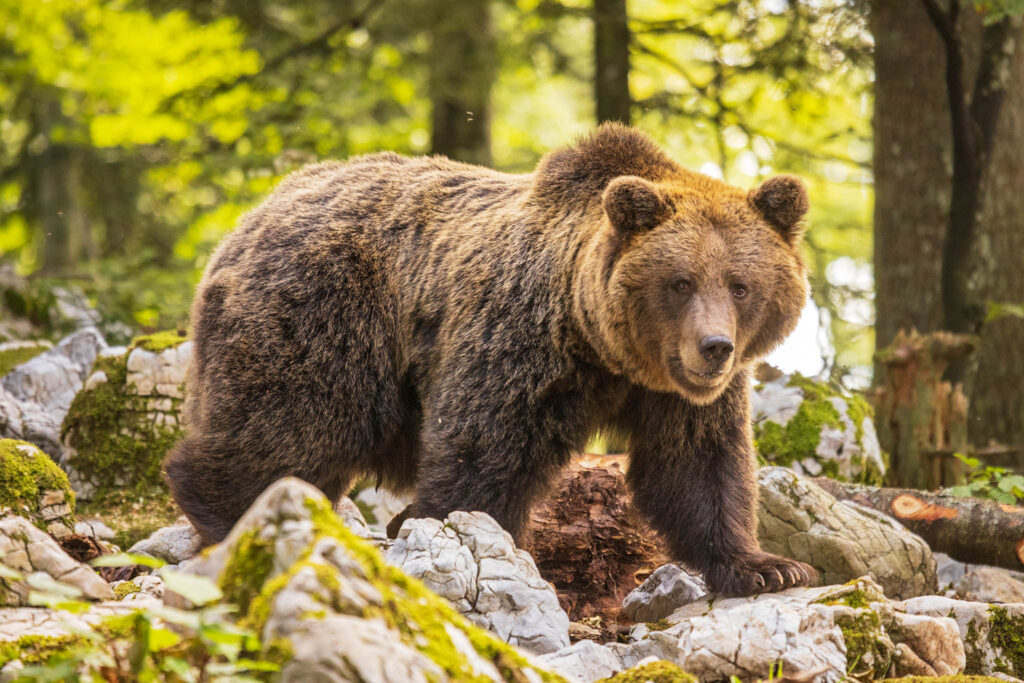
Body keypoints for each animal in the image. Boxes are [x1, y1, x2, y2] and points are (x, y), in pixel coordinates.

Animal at [165, 125, 815, 593]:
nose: (715, 347)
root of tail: (252, 214)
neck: (605, 349)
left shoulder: (675, 394)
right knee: (291, 426)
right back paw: (230, 513)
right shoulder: (521, 339)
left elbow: (696, 465)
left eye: (740, 285)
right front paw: (458, 538)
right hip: (325, 314)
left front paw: (767, 566)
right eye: (680, 282)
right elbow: (484, 448)